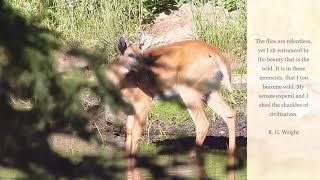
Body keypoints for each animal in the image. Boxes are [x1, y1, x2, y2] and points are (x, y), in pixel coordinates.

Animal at [105, 37, 238, 180]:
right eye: (130, 54)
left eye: (142, 53)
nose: (147, 69)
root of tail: (218, 56)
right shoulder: (130, 106)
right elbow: (128, 131)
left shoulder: (144, 101)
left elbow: (136, 132)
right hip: (208, 90)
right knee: (230, 113)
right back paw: (231, 152)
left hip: (189, 89)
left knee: (203, 123)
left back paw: (190, 156)